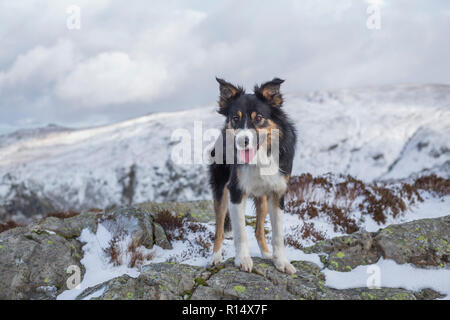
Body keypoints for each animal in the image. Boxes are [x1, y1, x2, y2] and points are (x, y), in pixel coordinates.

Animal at [209, 76, 298, 274]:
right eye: (235, 118)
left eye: (258, 118)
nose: (243, 141)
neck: (259, 158)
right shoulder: (235, 191)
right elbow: (240, 232)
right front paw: (243, 259)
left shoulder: (277, 193)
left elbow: (278, 234)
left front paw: (281, 262)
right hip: (220, 191)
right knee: (219, 229)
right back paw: (216, 257)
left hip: (263, 200)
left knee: (258, 230)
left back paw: (266, 255)